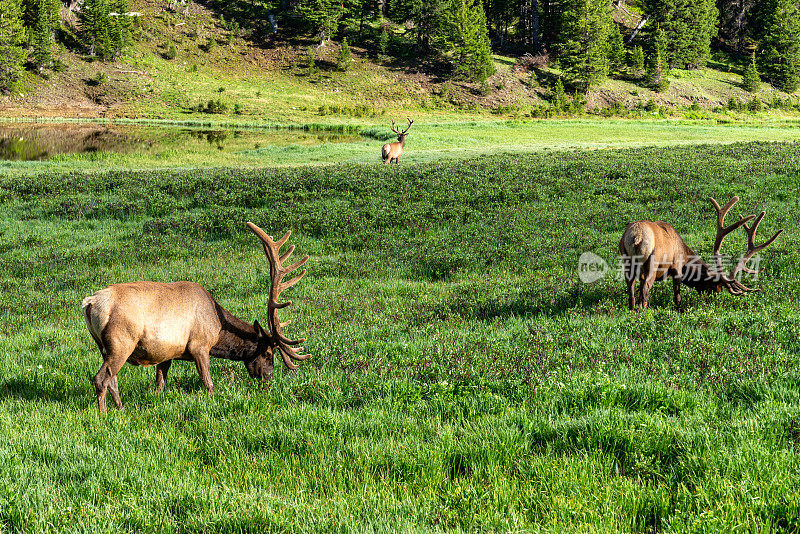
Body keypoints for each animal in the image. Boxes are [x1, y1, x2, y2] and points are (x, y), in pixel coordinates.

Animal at [83, 224, 310, 412]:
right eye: (268, 353)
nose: (268, 380)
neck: (218, 327)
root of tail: (90, 303)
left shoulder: (167, 353)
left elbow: (160, 383)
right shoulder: (199, 346)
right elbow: (208, 383)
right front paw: (212, 402)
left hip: (103, 346)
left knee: (112, 380)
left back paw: (120, 408)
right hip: (121, 342)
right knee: (101, 378)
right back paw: (103, 414)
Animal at [620, 198, 780, 312]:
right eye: (715, 284)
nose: (714, 296)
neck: (685, 255)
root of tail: (637, 236)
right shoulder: (676, 267)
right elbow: (677, 297)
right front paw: (679, 310)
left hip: (626, 260)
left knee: (631, 289)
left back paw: (632, 310)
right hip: (652, 262)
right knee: (645, 290)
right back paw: (642, 312)